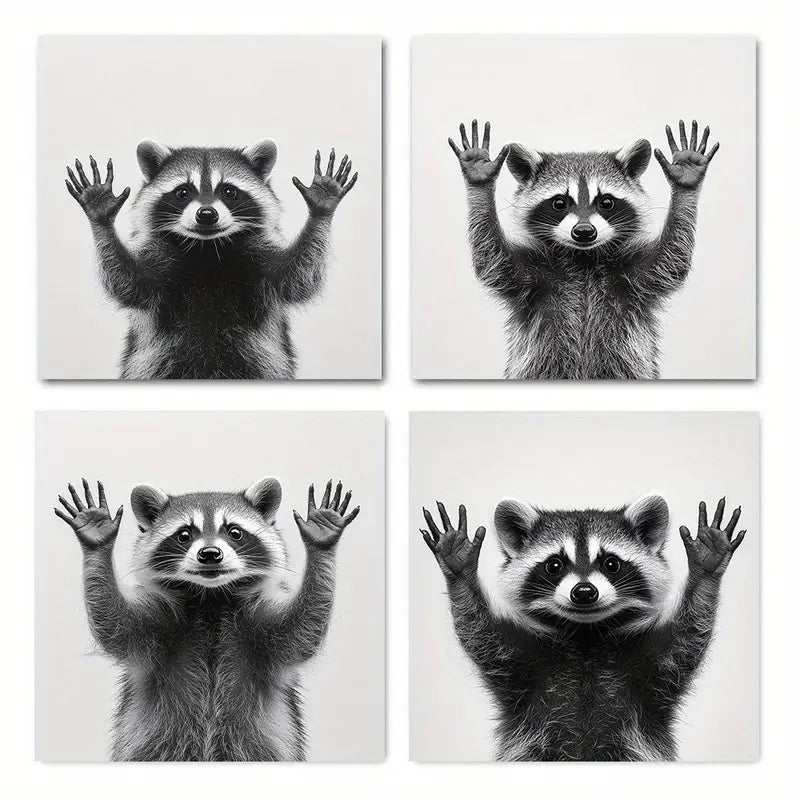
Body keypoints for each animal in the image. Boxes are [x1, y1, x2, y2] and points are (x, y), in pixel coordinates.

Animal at [54, 477, 360, 761]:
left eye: (234, 532)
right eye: (184, 535)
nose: (210, 554)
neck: (211, 598)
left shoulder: (259, 626)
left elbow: (302, 630)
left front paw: (321, 543)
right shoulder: (159, 624)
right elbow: (114, 624)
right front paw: (97, 541)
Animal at [65, 141, 357, 379]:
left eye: (229, 191)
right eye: (183, 192)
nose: (206, 214)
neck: (207, 249)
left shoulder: (258, 259)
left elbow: (296, 278)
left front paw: (320, 207)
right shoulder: (160, 258)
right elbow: (129, 283)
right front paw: (101, 216)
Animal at [421, 494, 745, 761]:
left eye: (611, 563)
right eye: (554, 565)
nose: (585, 592)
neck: (585, 637)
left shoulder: (650, 677)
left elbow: (687, 639)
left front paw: (706, 569)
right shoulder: (519, 669)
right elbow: (479, 632)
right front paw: (460, 572)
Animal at [448, 119, 720, 379]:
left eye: (606, 202)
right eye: (559, 203)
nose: (584, 231)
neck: (583, 259)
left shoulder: (634, 278)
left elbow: (672, 258)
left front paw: (686, 182)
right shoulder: (531, 278)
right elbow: (491, 257)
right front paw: (479, 180)